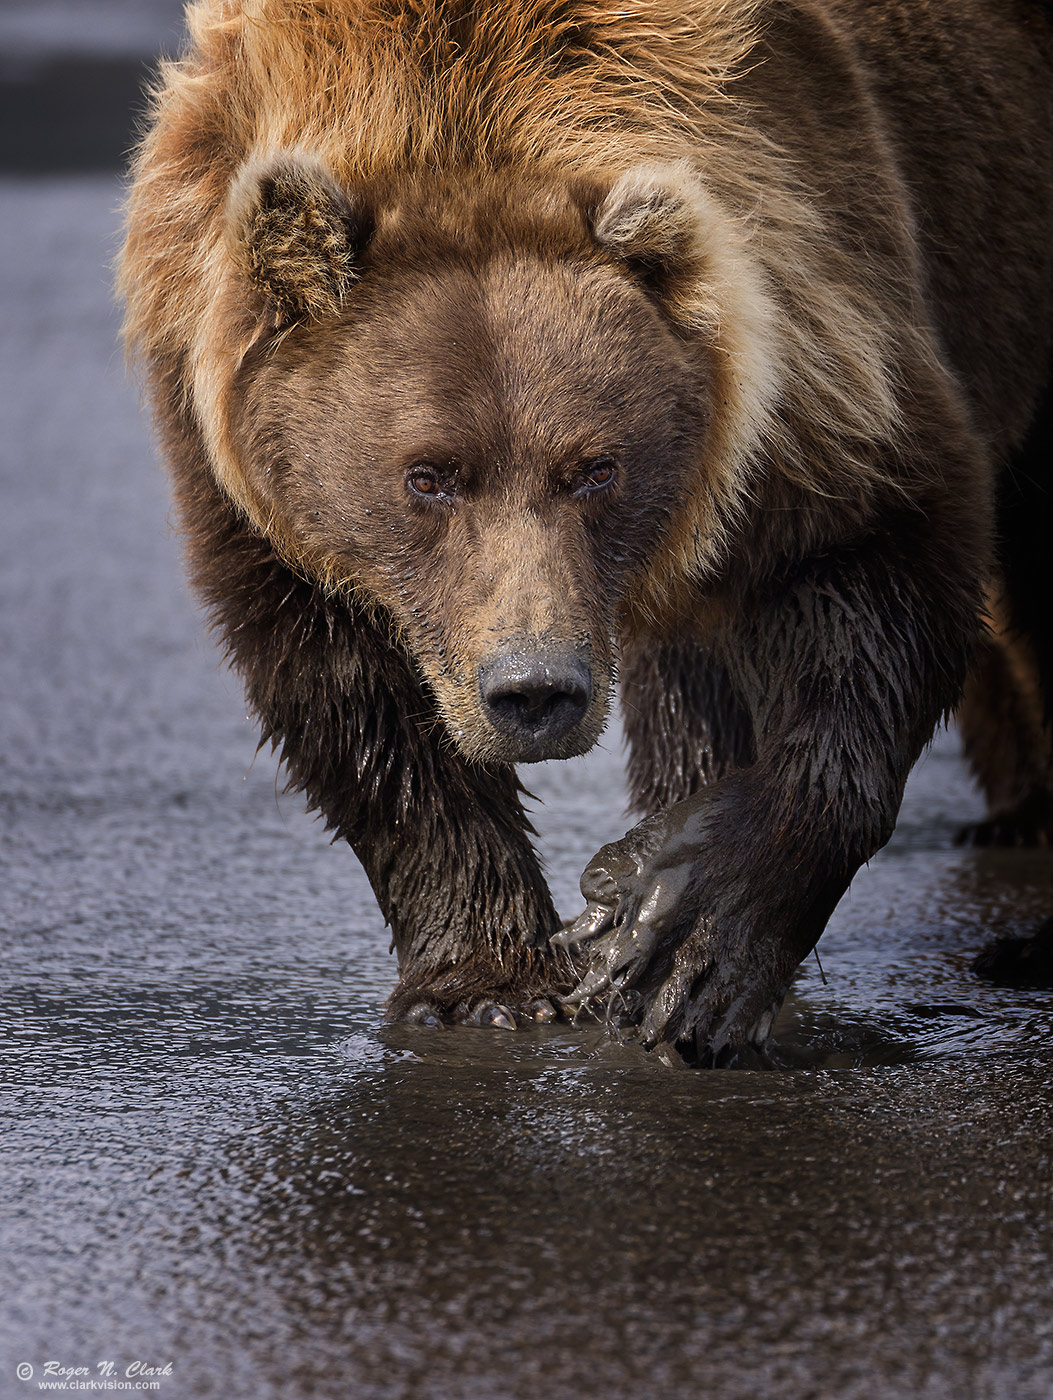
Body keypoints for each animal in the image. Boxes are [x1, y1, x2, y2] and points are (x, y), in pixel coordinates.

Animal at [121, 0, 1053, 1058]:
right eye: (429, 477)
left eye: (594, 469)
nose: (535, 692)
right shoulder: (238, 456)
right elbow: (356, 704)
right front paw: (488, 982)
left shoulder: (809, 358)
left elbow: (878, 574)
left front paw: (684, 934)